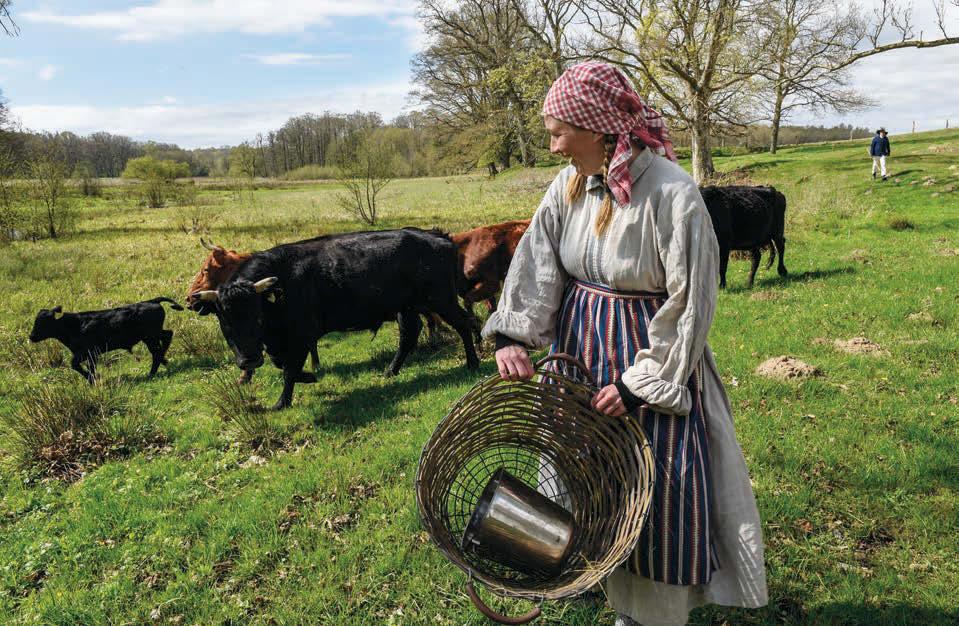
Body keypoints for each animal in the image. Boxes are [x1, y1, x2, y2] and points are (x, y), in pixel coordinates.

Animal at [30, 296, 184, 380]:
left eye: (42, 323)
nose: (31, 337)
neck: (74, 326)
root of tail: (152, 300)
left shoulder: (89, 353)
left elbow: (75, 364)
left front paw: (92, 379)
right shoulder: (89, 355)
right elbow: (85, 367)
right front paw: (93, 379)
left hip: (150, 336)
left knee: (158, 349)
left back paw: (152, 372)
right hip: (151, 336)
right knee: (165, 339)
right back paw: (163, 361)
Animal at [193, 227, 480, 408]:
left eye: (257, 316)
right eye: (225, 321)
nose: (248, 360)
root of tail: (436, 236)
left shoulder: (302, 335)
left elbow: (288, 370)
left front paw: (282, 402)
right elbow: (282, 365)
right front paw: (308, 377)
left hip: (441, 300)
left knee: (465, 323)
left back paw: (473, 362)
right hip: (408, 307)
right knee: (410, 335)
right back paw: (391, 370)